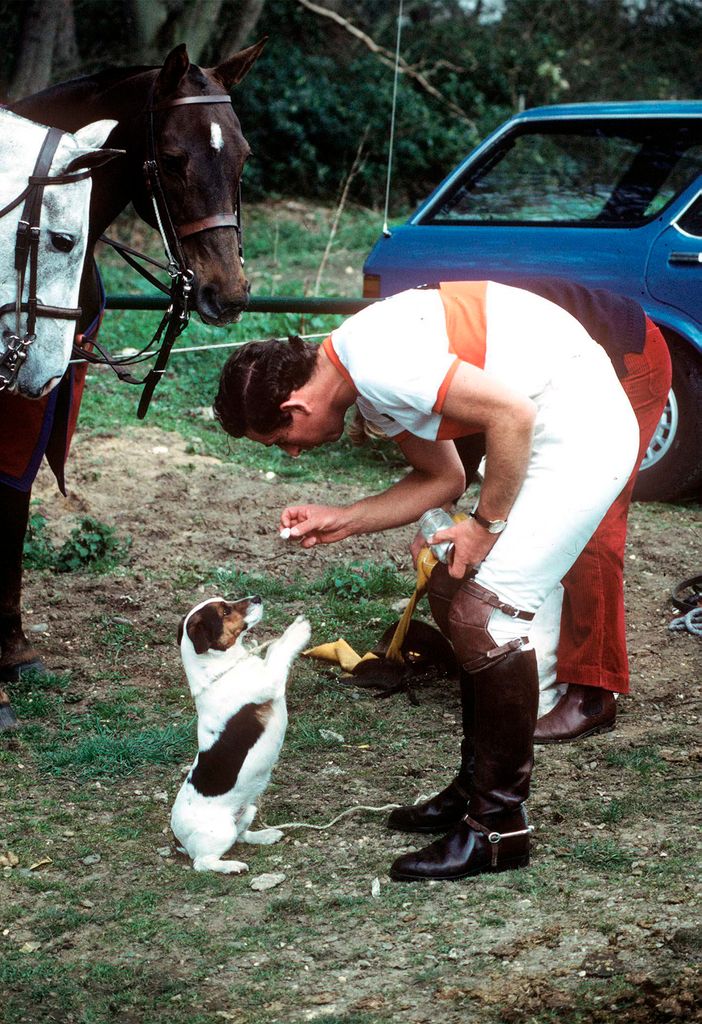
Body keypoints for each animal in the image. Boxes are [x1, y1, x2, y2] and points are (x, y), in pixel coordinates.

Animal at [170, 593, 311, 872]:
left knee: (242, 836)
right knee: (203, 863)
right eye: (225, 611)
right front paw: (298, 629)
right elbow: (278, 649)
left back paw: (265, 835)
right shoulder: (270, 679)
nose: (257, 597)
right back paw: (232, 866)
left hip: (248, 811)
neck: (221, 670)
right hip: (220, 831)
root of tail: (180, 839)